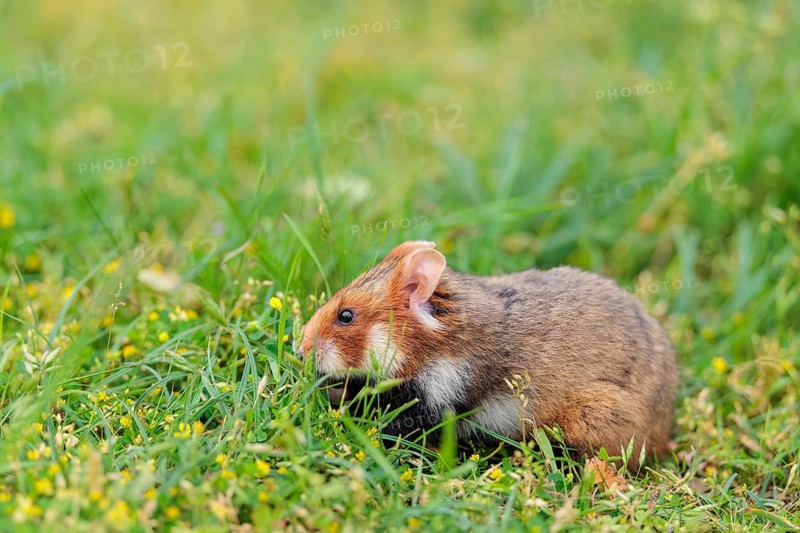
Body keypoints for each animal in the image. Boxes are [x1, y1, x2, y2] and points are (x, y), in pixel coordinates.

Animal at [299, 241, 679, 467]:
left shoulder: (435, 399)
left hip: (591, 417)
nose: (299, 348)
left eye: (346, 316)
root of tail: (664, 431)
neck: (438, 344)